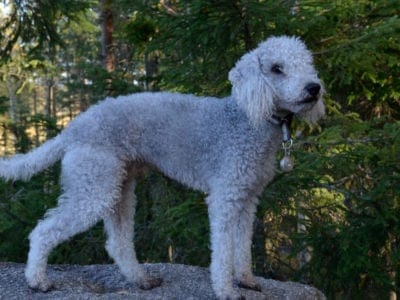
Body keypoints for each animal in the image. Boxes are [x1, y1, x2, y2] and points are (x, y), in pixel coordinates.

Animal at [0, 36, 324, 298]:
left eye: (308, 63)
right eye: (277, 68)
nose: (314, 88)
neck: (247, 119)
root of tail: (72, 128)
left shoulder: (248, 197)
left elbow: (242, 243)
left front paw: (246, 280)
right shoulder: (225, 197)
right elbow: (223, 249)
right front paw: (225, 290)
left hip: (118, 187)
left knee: (117, 243)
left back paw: (141, 280)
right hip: (94, 187)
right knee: (43, 231)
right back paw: (37, 281)